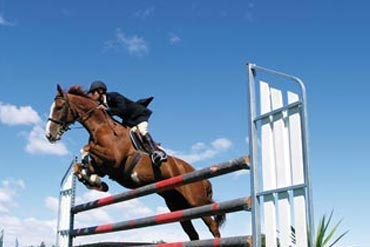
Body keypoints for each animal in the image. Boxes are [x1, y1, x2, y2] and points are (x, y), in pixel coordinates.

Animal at [46, 85, 225, 241]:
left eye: (60, 107)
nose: (49, 135)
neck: (101, 127)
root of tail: (205, 180)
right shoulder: (104, 166)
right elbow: (81, 166)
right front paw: (95, 181)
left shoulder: (114, 158)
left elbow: (85, 149)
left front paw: (93, 178)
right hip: (177, 206)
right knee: (193, 234)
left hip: (196, 202)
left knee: (213, 226)